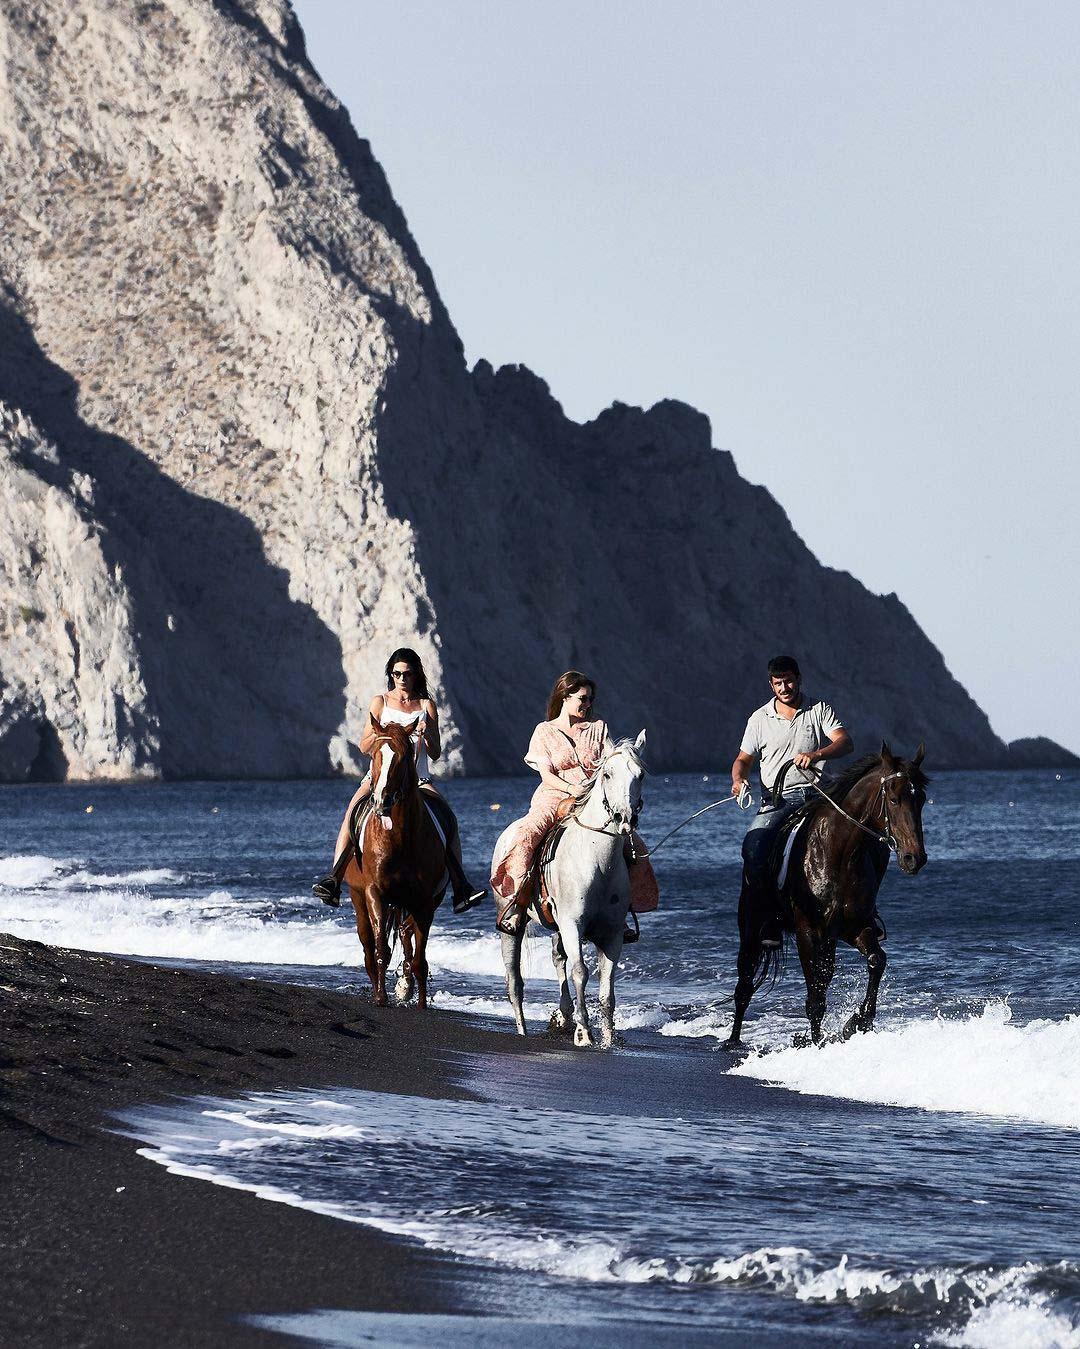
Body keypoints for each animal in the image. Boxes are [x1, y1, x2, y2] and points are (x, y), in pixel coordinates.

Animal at [343, 712, 447, 1009]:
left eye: (404, 756)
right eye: (375, 755)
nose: (382, 801)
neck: (400, 838)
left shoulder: (425, 901)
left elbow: (419, 955)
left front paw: (419, 1000)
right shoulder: (374, 892)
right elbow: (380, 947)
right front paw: (380, 996)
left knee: (405, 933)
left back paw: (405, 985)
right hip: (359, 898)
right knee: (369, 944)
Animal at [493, 733, 644, 1046]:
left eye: (641, 775)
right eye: (608, 774)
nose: (624, 819)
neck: (596, 860)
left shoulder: (612, 933)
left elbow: (607, 988)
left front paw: (608, 1038)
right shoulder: (573, 924)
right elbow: (580, 972)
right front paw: (584, 1032)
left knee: (557, 960)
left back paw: (562, 1016)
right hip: (511, 927)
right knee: (514, 981)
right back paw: (523, 1030)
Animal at [722, 744, 927, 1046]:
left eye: (921, 799)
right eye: (893, 799)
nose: (915, 858)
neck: (838, 852)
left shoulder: (853, 927)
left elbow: (876, 961)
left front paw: (858, 1021)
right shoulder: (807, 930)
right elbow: (815, 994)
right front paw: (816, 1041)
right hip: (751, 929)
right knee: (745, 982)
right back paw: (733, 1040)